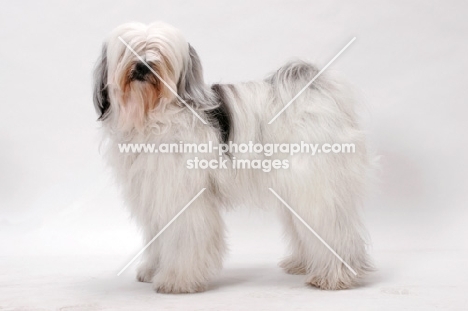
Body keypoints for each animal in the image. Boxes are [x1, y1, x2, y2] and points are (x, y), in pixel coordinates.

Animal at [93, 21, 372, 292]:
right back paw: (303, 264)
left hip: (315, 184)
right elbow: (157, 236)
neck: (154, 115)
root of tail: (317, 91)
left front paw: (177, 280)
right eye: (129, 49)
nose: (143, 65)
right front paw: (153, 269)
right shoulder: (154, 192)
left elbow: (184, 238)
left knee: (331, 227)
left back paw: (333, 276)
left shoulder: (184, 197)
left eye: (159, 52)